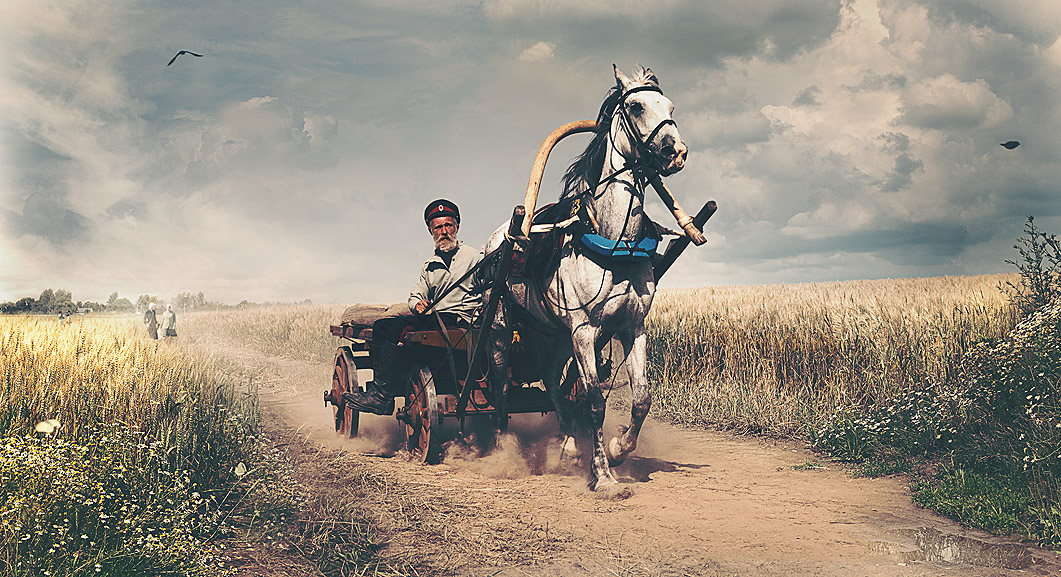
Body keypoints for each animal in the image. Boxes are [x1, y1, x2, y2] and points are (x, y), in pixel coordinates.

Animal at [485, 64, 691, 492]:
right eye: (635, 105)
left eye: (671, 107)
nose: (675, 152)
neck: (616, 242)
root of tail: (498, 238)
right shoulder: (584, 330)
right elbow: (595, 401)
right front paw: (603, 476)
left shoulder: (632, 326)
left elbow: (642, 398)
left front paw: (615, 449)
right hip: (501, 326)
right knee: (499, 385)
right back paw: (501, 446)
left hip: (556, 334)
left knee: (550, 378)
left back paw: (567, 444)